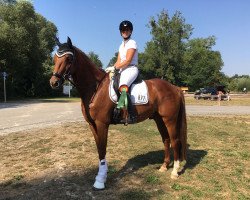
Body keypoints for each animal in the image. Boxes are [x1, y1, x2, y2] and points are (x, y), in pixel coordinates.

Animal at [49, 37, 187, 189]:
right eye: (55, 58)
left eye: (68, 59)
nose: (54, 82)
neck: (95, 88)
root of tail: (175, 88)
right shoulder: (92, 125)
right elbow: (99, 149)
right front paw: (102, 174)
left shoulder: (102, 124)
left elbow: (103, 149)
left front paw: (100, 180)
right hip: (159, 119)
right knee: (166, 139)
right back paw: (164, 166)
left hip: (170, 119)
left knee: (175, 140)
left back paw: (174, 171)